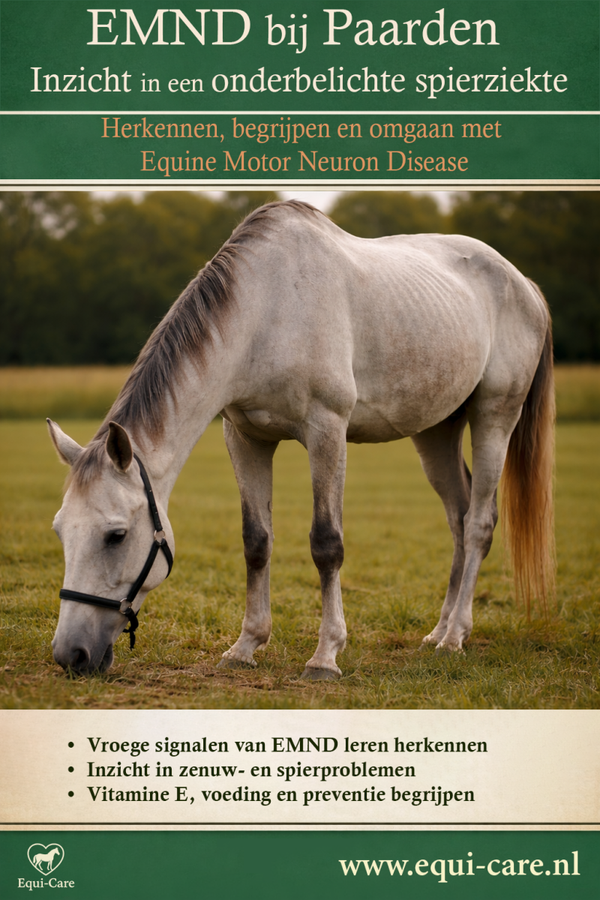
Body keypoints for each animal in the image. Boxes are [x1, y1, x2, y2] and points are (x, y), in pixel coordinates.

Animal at [47, 200, 555, 679]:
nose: (70, 654)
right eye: (59, 530)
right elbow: (256, 542)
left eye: (116, 536)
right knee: (458, 516)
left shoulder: (327, 430)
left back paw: (455, 638)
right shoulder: (245, 438)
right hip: (436, 431)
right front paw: (246, 646)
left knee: (478, 524)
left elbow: (326, 544)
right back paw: (439, 630)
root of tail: (524, 283)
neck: (266, 310)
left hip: (494, 418)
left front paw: (326, 655)